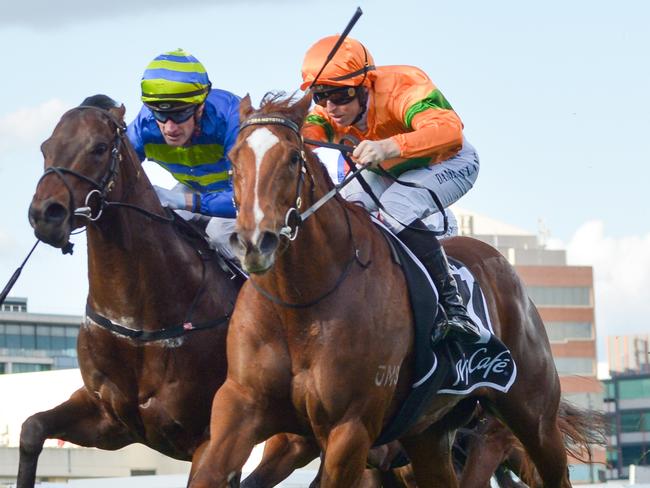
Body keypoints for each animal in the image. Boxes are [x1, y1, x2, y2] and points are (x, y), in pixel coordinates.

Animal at [22, 97, 243, 486]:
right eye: (46, 147)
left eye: (98, 148)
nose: (45, 214)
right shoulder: (109, 419)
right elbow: (32, 428)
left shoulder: (209, 437)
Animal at [187, 92, 576, 488]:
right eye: (233, 160)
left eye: (293, 157)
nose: (254, 243)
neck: (299, 305)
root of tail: (502, 264)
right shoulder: (242, 407)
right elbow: (210, 472)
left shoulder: (350, 429)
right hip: (429, 434)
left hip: (531, 415)